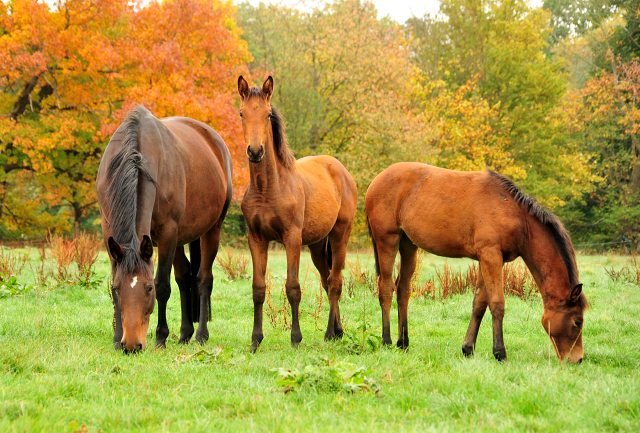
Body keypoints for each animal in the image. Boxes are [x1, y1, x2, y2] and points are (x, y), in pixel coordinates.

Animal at [96, 104, 231, 352]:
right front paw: (117, 338)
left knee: (203, 279)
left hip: (210, 231)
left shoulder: (168, 233)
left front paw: (160, 337)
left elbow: (163, 286)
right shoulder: (109, 233)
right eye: (119, 288)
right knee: (184, 277)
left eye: (148, 288)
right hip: (179, 238)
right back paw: (185, 334)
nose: (132, 345)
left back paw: (200, 335)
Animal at [238, 76, 358, 350]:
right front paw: (255, 340)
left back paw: (330, 333)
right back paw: (337, 331)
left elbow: (293, 287)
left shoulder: (291, 239)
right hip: (316, 245)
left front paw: (295, 338)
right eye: (241, 113)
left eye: (268, 114)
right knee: (326, 280)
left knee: (335, 283)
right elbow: (258, 288)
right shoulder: (256, 238)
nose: (255, 151)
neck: (268, 188)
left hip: (340, 236)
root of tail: (340, 170)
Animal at [364, 162, 592, 362]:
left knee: (403, 290)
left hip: (408, 245)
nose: (578, 359)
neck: (516, 215)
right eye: (577, 321)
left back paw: (403, 343)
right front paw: (500, 353)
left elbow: (480, 304)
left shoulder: (489, 259)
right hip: (388, 240)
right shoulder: (491, 256)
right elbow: (497, 303)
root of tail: (377, 179)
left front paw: (468, 348)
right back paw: (386, 341)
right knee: (386, 288)